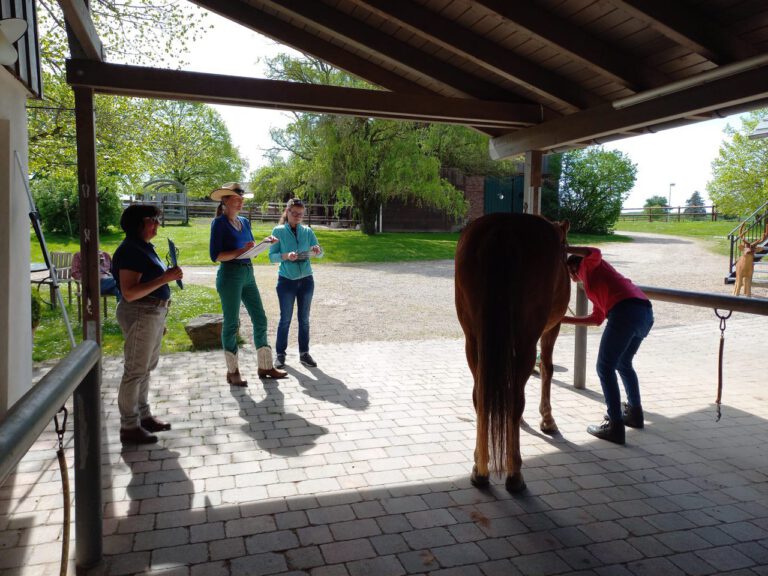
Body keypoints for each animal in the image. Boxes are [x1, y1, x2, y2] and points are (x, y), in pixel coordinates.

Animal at [456, 214, 568, 492]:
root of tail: (502, 228)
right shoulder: (552, 328)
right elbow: (547, 369)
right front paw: (547, 420)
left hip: (474, 341)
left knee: (480, 396)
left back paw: (480, 470)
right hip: (527, 340)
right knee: (517, 398)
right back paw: (514, 473)